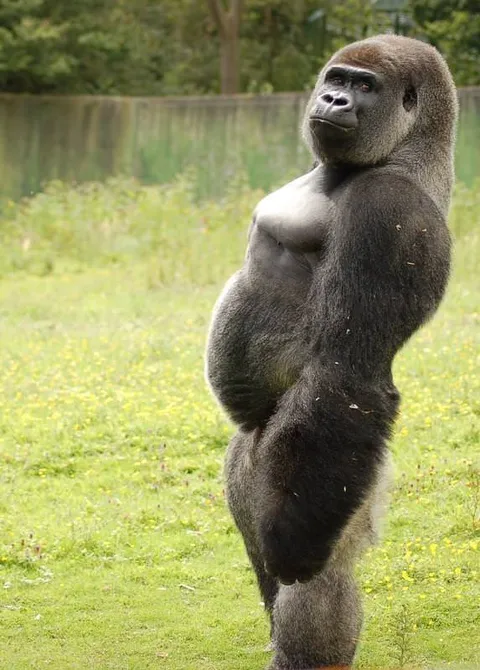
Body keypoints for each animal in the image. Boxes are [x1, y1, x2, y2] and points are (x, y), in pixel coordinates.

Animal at [205, 35, 457, 669]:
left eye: (365, 87)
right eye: (337, 79)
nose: (335, 99)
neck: (408, 153)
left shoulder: (390, 215)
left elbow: (347, 375)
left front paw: (295, 550)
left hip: (336, 478)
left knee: (314, 570)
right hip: (254, 468)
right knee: (258, 539)